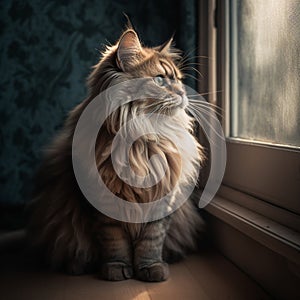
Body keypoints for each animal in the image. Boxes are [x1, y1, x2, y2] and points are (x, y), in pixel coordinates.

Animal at [28, 25, 205, 282]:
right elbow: (114, 242)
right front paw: (117, 269)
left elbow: (151, 241)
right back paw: (77, 266)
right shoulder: (101, 202)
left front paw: (151, 268)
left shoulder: (162, 199)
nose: (183, 93)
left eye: (179, 81)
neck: (143, 141)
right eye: (160, 80)